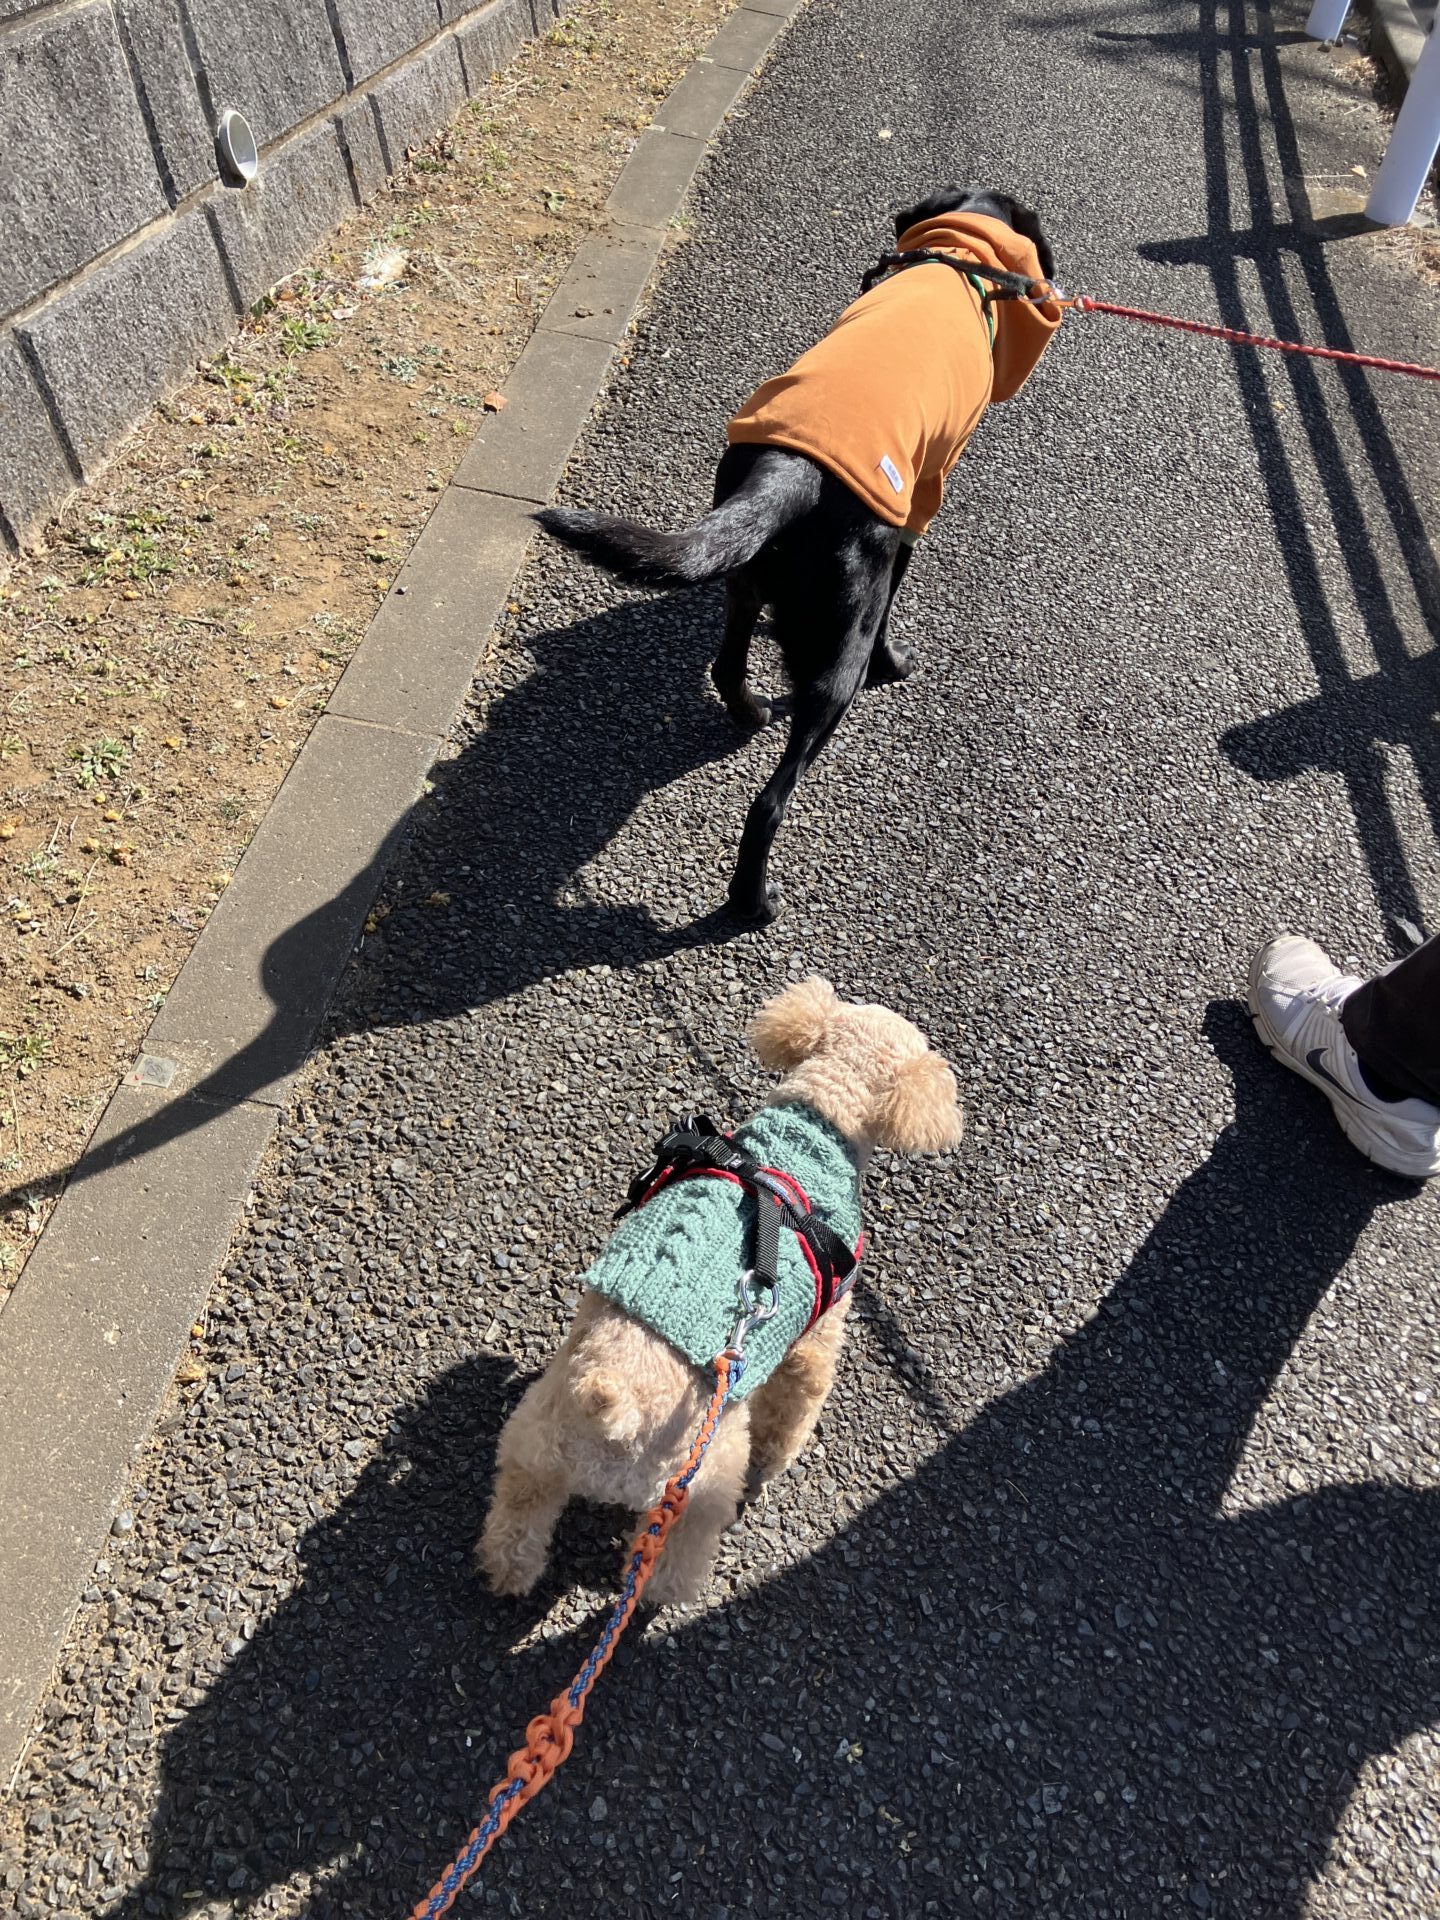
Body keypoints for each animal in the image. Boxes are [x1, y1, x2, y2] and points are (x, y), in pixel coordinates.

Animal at [478, 977, 962, 1607]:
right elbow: (795, 1407)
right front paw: (778, 1460)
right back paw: (669, 1593)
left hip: (535, 1444)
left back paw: (507, 1575)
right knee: (674, 1556)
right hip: (705, 1477)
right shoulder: (817, 1334)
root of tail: (614, 1406)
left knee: (517, 1521)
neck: (817, 1123)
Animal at [537, 186, 1063, 925]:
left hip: (747, 571)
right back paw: (753, 901)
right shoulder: (917, 504)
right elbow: (894, 609)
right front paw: (896, 664)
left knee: (727, 663)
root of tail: (790, 474)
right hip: (837, 653)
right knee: (769, 801)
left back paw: (750, 712)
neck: (956, 259)